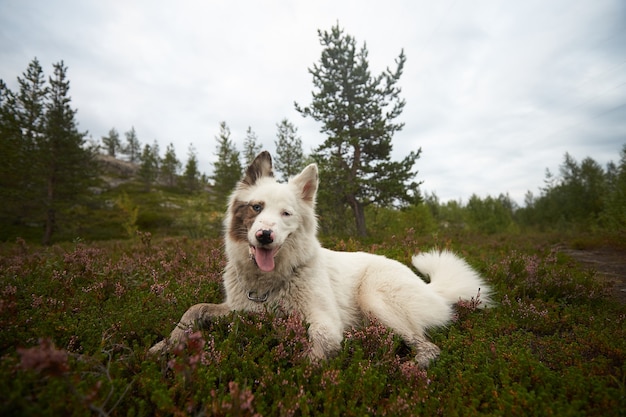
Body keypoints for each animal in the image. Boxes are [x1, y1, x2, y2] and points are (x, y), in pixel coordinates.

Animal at [149, 151, 490, 366]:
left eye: (286, 214)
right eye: (257, 207)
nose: (264, 236)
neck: (267, 284)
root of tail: (432, 288)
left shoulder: (325, 322)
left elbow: (314, 350)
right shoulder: (239, 310)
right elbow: (193, 309)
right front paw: (166, 344)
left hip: (375, 299)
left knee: (430, 348)